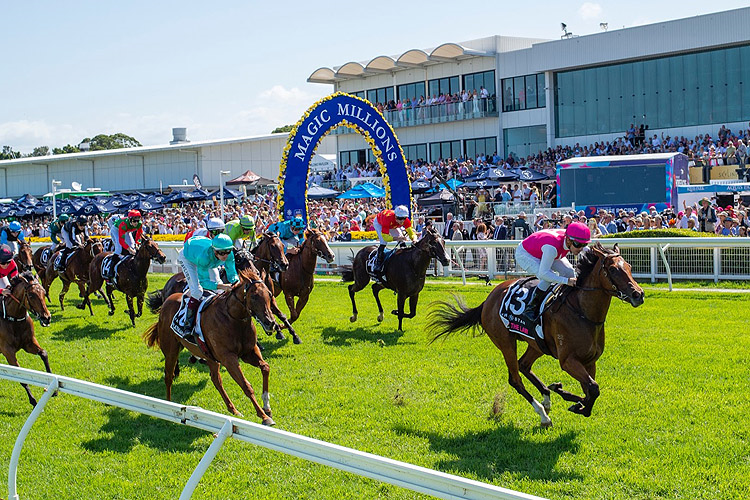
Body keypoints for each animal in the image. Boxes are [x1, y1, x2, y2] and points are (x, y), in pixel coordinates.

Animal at [0, 274, 53, 406]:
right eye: (31, 295)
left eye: (44, 293)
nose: (47, 318)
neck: (13, 318)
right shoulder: (8, 352)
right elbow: (22, 377)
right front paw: (33, 400)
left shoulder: (29, 343)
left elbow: (43, 353)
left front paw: (54, 390)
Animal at [142, 268, 278, 424]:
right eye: (254, 296)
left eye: (269, 294)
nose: (271, 323)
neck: (233, 318)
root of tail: (166, 301)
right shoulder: (228, 358)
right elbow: (246, 385)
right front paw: (264, 416)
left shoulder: (249, 352)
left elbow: (265, 367)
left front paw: (267, 406)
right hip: (171, 350)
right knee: (168, 376)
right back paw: (169, 405)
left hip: (209, 355)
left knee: (215, 379)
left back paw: (233, 409)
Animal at [428, 244, 648, 428]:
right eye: (613, 270)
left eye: (629, 266)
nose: (638, 294)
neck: (582, 312)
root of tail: (488, 300)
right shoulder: (568, 361)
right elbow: (593, 389)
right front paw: (569, 398)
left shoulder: (590, 361)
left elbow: (590, 391)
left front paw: (568, 397)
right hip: (506, 342)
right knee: (515, 379)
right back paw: (543, 414)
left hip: (536, 344)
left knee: (524, 365)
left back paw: (547, 397)